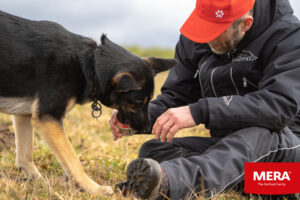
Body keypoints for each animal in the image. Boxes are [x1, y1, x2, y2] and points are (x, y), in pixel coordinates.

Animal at [0, 10, 176, 195]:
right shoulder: (48, 118)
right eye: (138, 102)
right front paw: (92, 187)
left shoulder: (24, 115)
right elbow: (73, 160)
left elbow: (25, 155)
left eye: (148, 101)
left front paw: (39, 183)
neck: (89, 64)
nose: (147, 128)